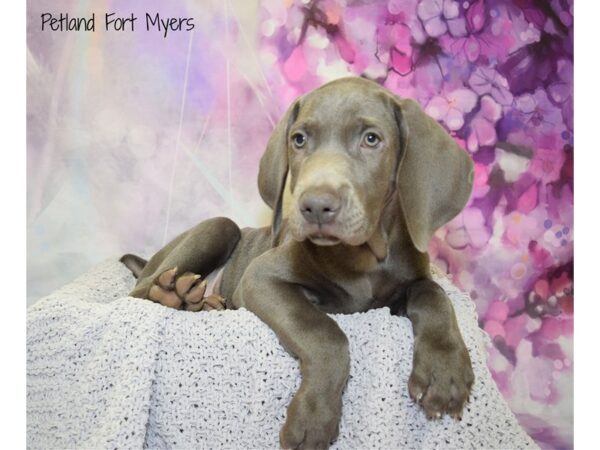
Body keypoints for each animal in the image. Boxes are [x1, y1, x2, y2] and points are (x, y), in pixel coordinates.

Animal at [122, 77, 476, 450]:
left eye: (371, 139)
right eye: (299, 140)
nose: (316, 206)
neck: (363, 256)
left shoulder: (406, 286)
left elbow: (434, 294)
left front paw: (444, 370)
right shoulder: (260, 277)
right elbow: (325, 333)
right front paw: (313, 418)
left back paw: (199, 301)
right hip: (218, 227)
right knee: (139, 293)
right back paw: (174, 293)